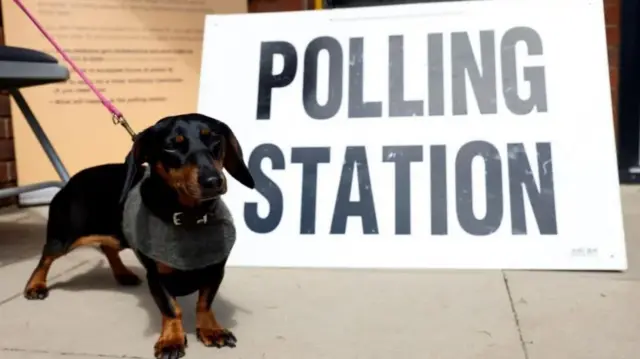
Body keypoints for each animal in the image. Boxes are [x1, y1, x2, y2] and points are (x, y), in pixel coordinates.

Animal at [25, 114, 255, 358]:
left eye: (215, 140)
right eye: (172, 146)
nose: (213, 181)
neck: (189, 218)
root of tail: (70, 181)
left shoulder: (215, 270)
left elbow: (204, 303)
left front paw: (211, 329)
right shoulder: (156, 276)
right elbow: (172, 309)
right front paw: (171, 340)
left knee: (108, 248)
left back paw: (123, 274)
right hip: (64, 238)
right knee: (46, 256)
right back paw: (35, 285)